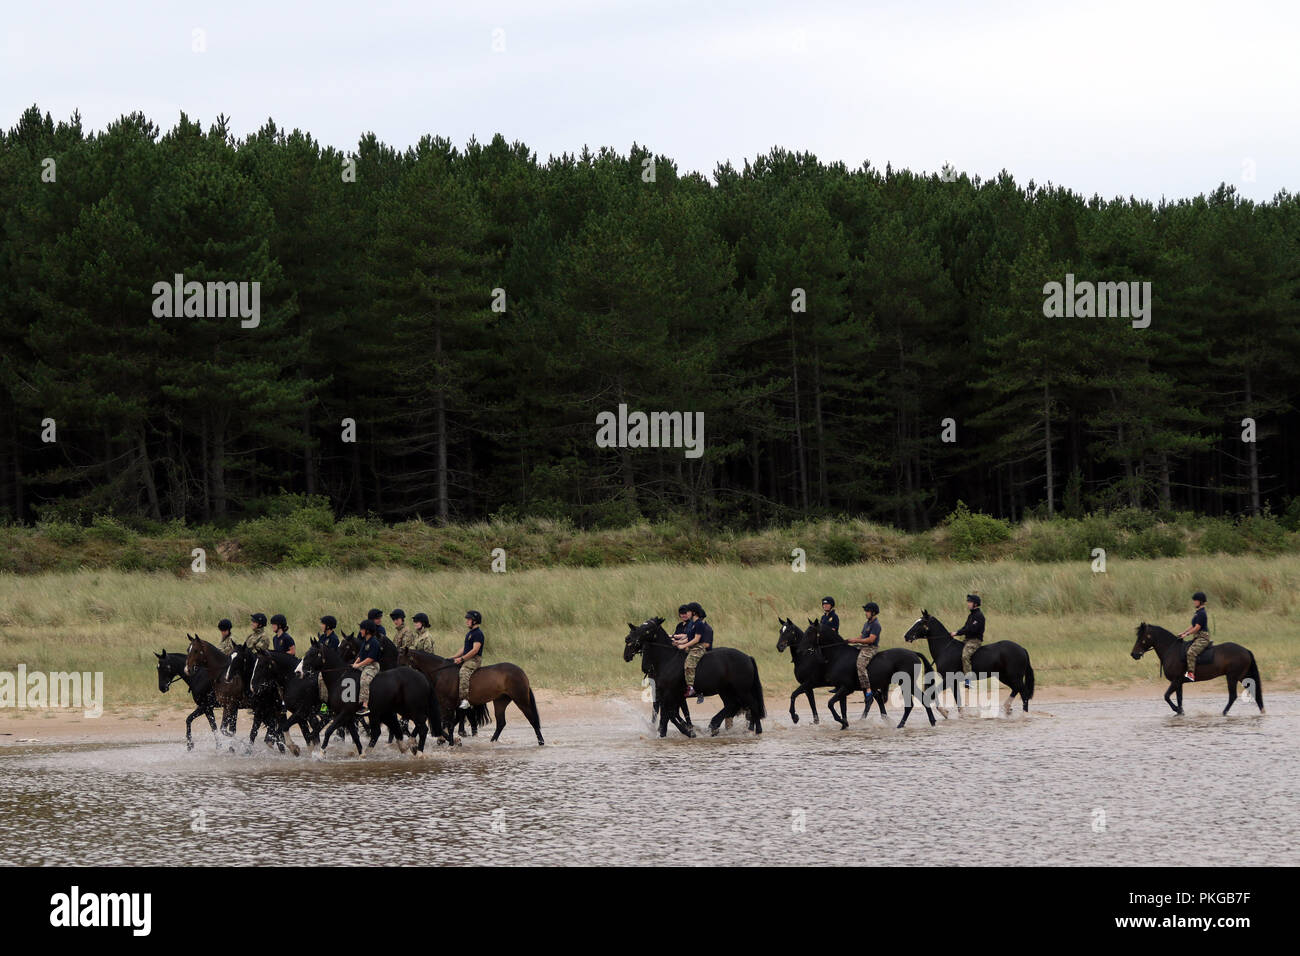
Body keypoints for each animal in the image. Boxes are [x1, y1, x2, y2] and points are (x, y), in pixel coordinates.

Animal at [392, 642, 540, 749]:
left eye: (402, 662)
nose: (397, 676)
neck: (440, 673)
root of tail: (520, 671)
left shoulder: (447, 705)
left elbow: (449, 724)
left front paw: (452, 743)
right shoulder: (443, 705)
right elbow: (445, 724)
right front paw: (450, 741)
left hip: (521, 699)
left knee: (532, 719)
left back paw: (541, 742)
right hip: (500, 701)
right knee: (501, 723)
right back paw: (492, 742)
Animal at [618, 621, 759, 738]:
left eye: (647, 630)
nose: (627, 639)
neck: (668, 659)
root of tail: (748, 657)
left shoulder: (670, 694)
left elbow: (669, 714)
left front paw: (681, 732)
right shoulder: (669, 695)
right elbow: (671, 713)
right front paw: (682, 730)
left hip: (742, 690)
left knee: (751, 705)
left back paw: (754, 730)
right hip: (727, 691)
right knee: (733, 705)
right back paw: (717, 726)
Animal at [904, 608, 1034, 712]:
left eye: (920, 623)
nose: (906, 636)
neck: (945, 648)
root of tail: (1021, 649)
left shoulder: (948, 679)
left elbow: (934, 692)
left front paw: (943, 711)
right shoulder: (953, 682)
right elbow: (958, 700)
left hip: (1014, 676)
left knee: (1023, 693)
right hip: (1004, 676)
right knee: (1016, 689)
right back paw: (1007, 707)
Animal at [1133, 621, 1263, 717]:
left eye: (1142, 637)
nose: (1133, 654)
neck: (1171, 650)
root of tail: (1246, 650)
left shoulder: (1176, 681)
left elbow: (1166, 696)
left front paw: (1177, 710)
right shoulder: (1179, 683)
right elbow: (1179, 698)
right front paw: (1180, 712)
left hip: (1232, 677)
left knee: (1233, 696)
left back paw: (1224, 713)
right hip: (1243, 676)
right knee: (1253, 691)